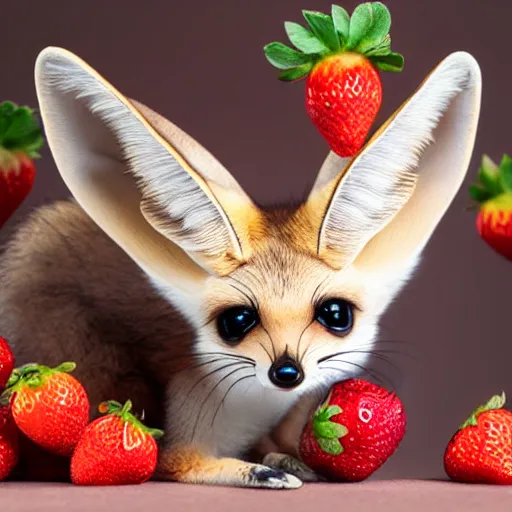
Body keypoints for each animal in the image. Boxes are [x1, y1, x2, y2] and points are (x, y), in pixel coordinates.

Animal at [1, 48, 480, 488]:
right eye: (237, 320)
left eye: (335, 314)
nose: (287, 371)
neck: (254, 409)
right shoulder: (178, 440)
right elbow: (182, 463)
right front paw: (259, 471)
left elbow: (277, 447)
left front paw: (284, 460)